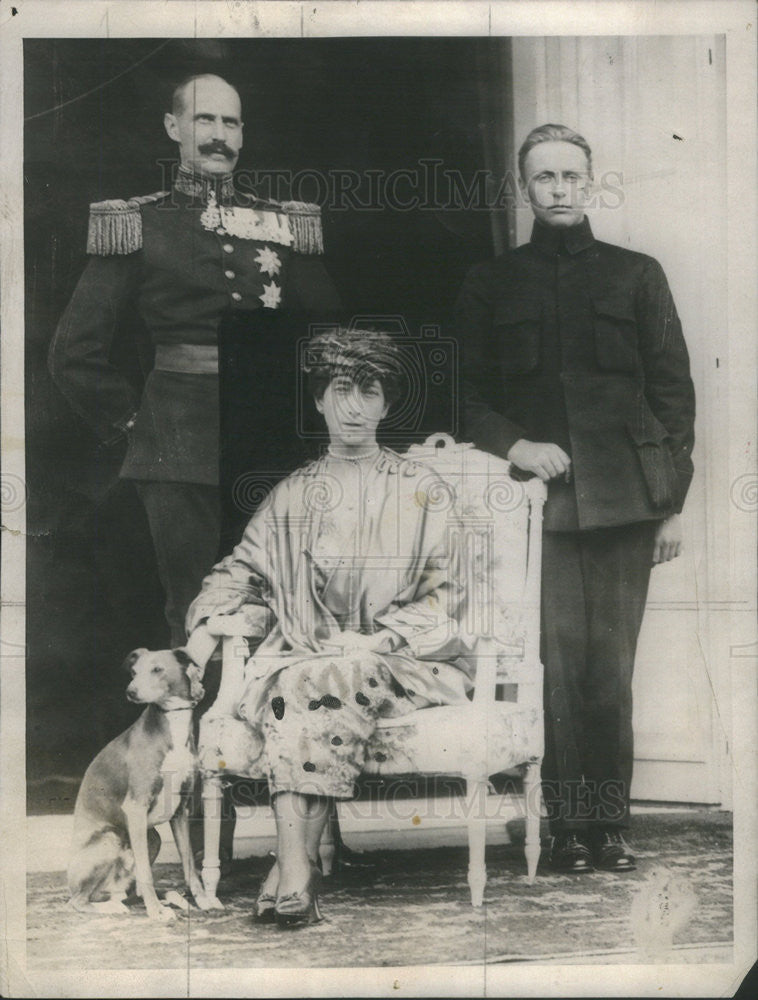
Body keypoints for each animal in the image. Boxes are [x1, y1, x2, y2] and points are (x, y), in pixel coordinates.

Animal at [67, 648, 214, 920]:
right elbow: (146, 873)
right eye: (134, 671)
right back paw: (117, 908)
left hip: (152, 838)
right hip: (111, 838)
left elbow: (189, 863)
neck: (172, 724)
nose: (131, 691)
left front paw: (203, 901)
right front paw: (155, 911)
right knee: (78, 901)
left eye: (157, 669)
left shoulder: (181, 811)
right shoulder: (136, 807)